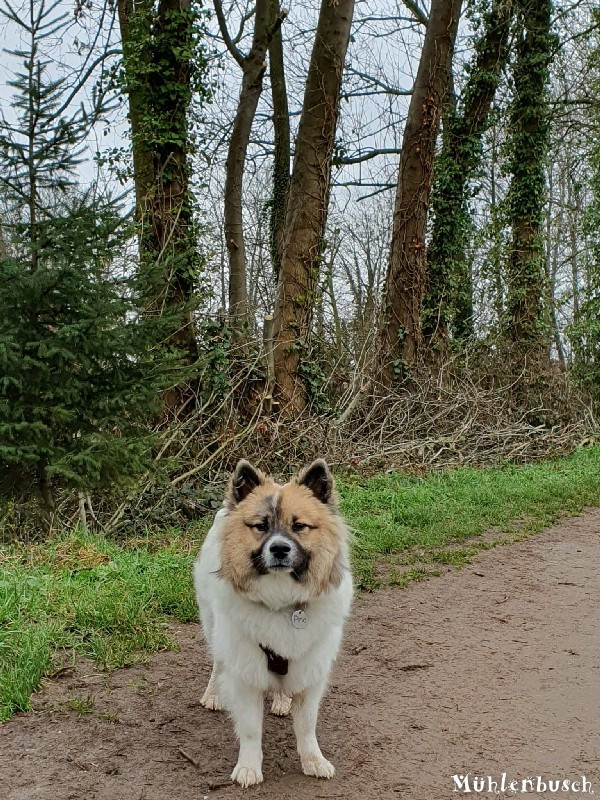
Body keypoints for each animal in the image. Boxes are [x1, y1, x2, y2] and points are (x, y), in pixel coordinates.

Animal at [194, 458, 353, 787]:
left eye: (299, 526)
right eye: (261, 526)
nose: (279, 549)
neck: (282, 602)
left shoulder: (310, 670)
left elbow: (306, 726)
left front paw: (313, 760)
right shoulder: (245, 672)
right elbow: (251, 729)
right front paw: (248, 768)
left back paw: (281, 701)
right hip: (213, 626)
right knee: (217, 663)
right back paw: (213, 695)